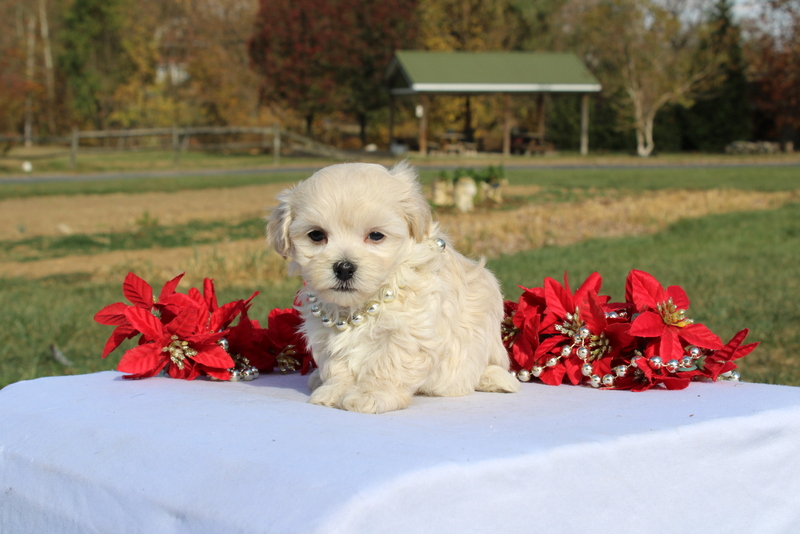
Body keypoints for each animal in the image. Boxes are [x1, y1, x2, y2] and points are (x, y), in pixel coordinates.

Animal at [266, 161, 520, 416]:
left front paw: (370, 395)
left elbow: (388, 363)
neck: (363, 302)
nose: (344, 268)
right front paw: (335, 390)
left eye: (376, 235)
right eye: (316, 235)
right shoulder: (326, 335)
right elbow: (338, 364)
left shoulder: (410, 331)